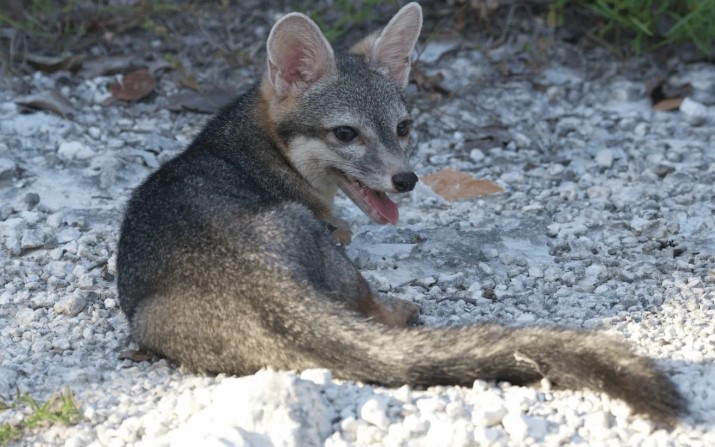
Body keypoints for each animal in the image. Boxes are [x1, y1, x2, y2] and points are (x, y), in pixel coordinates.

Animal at [117, 2, 683, 425]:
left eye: (404, 127)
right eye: (346, 133)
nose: (406, 180)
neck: (251, 147)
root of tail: (263, 283)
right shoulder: (333, 229)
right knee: (370, 307)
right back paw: (400, 311)